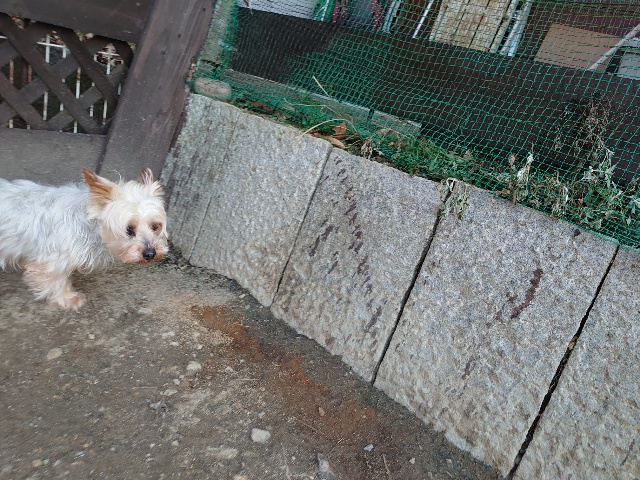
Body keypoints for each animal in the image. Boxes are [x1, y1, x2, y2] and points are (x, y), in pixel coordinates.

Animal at [0, 168, 168, 310]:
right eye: (129, 229)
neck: (87, 223)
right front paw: (67, 298)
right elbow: (56, 280)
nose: (150, 253)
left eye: (155, 226)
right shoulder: (51, 261)